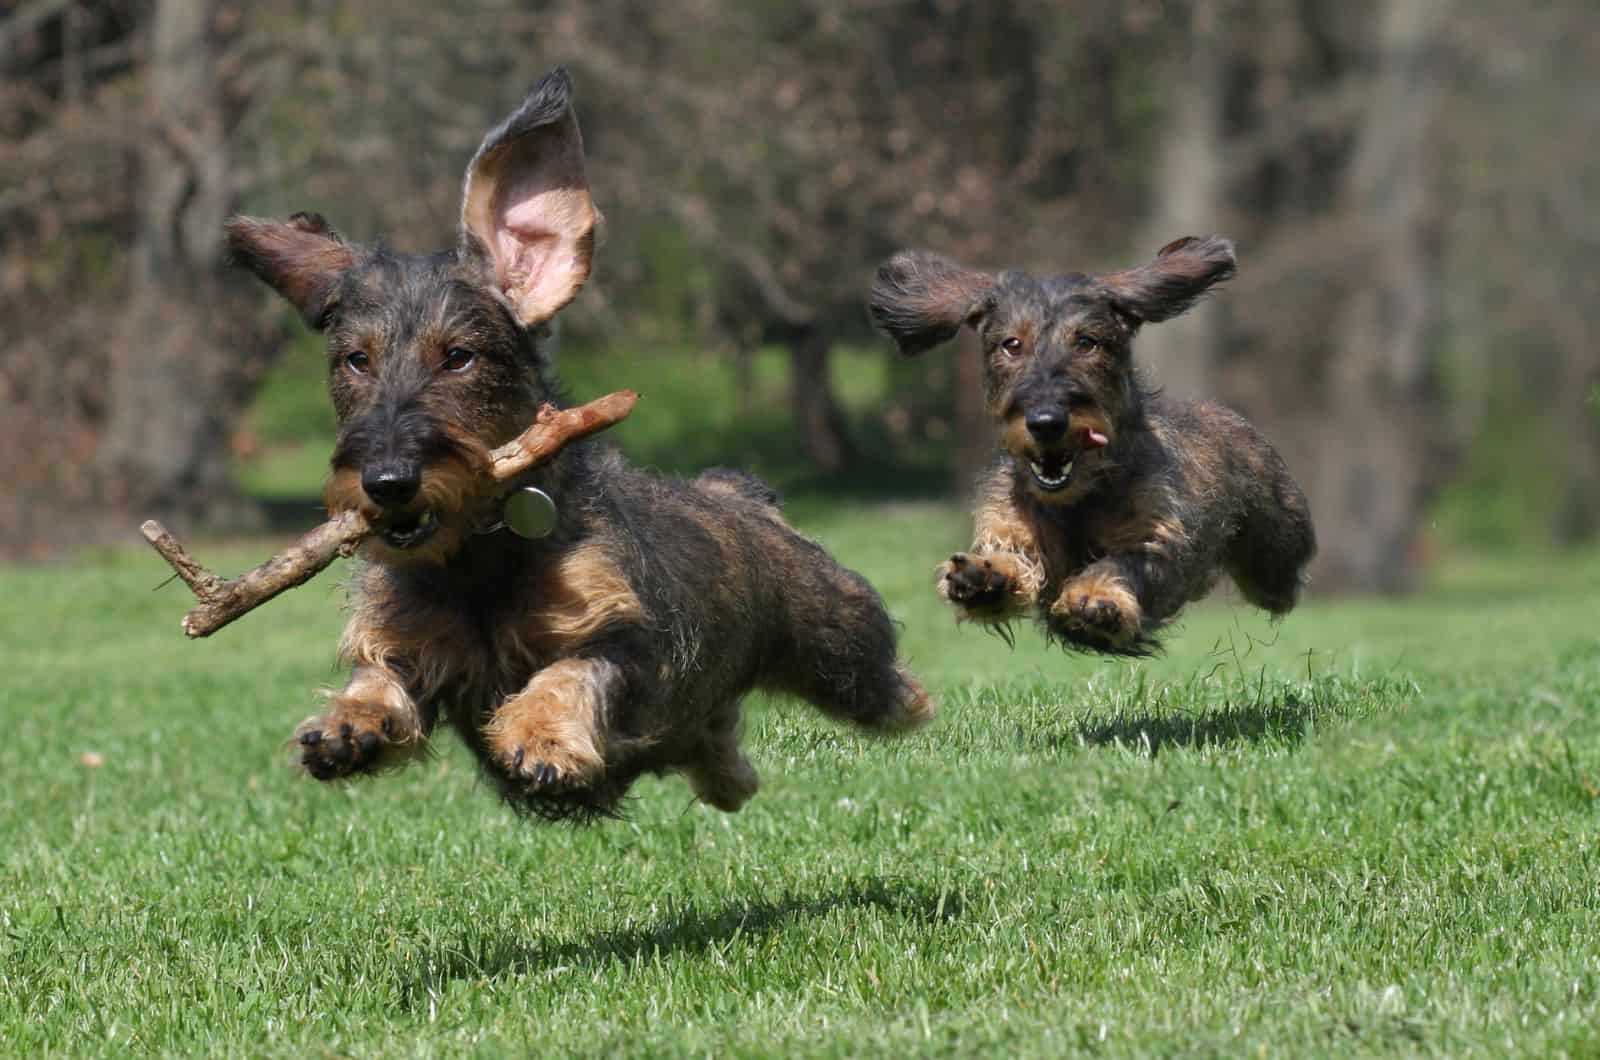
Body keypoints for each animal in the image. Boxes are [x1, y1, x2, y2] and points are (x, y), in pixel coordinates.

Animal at [220, 72, 934, 819]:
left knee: (896, 693)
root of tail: (739, 495)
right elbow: (379, 681)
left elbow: (570, 671)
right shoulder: (409, 648)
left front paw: (540, 736)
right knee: (721, 746)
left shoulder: (624, 639)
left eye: (459, 357)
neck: (479, 561)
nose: (387, 482)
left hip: (846, 651)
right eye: (355, 360)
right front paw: (345, 726)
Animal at [876, 240, 1312, 656]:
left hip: (1273, 558)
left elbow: (1119, 564)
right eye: (1011, 344)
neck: (1077, 500)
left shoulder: (1153, 539)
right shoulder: (1012, 523)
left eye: (1087, 342)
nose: (1046, 422)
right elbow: (1013, 556)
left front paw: (1095, 599)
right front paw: (986, 577)